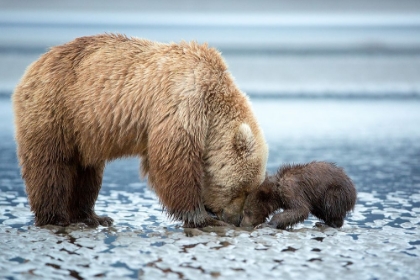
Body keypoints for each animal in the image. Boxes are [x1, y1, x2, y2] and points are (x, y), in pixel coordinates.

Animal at [14, 34, 270, 229]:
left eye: (249, 189)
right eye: (242, 189)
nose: (236, 220)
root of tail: (34, 65)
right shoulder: (183, 103)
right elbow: (174, 162)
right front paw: (202, 217)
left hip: (84, 131)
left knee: (88, 172)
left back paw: (93, 216)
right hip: (56, 110)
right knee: (51, 166)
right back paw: (56, 217)